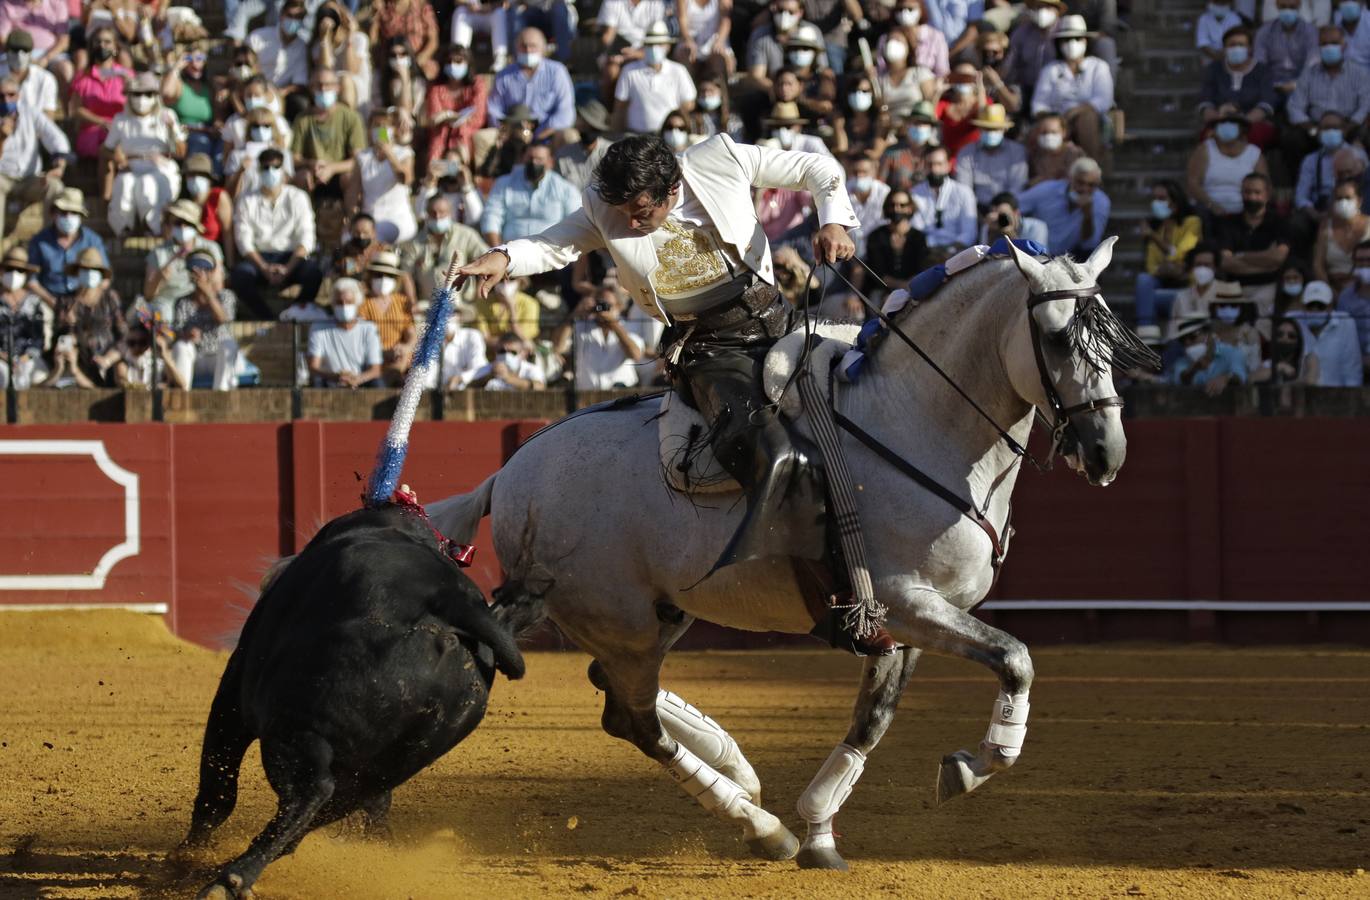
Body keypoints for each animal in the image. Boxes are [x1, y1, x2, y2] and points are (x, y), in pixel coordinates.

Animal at [176, 501, 528, 893]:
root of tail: (452, 604)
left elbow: (217, 788)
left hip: (295, 730)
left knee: (308, 793)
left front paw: (187, 855)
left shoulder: (233, 694)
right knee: (332, 807)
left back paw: (229, 878)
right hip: (391, 763)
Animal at [432, 235, 1139, 865]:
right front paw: (973, 765)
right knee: (632, 717)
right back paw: (759, 823)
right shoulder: (904, 602)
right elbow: (1017, 659)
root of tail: (513, 470)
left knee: (615, 695)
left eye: (1112, 340)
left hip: (657, 612)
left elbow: (873, 718)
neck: (916, 419)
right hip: (618, 619)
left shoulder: (913, 620)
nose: (1106, 451)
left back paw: (738, 767)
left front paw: (822, 828)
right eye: (1057, 337)